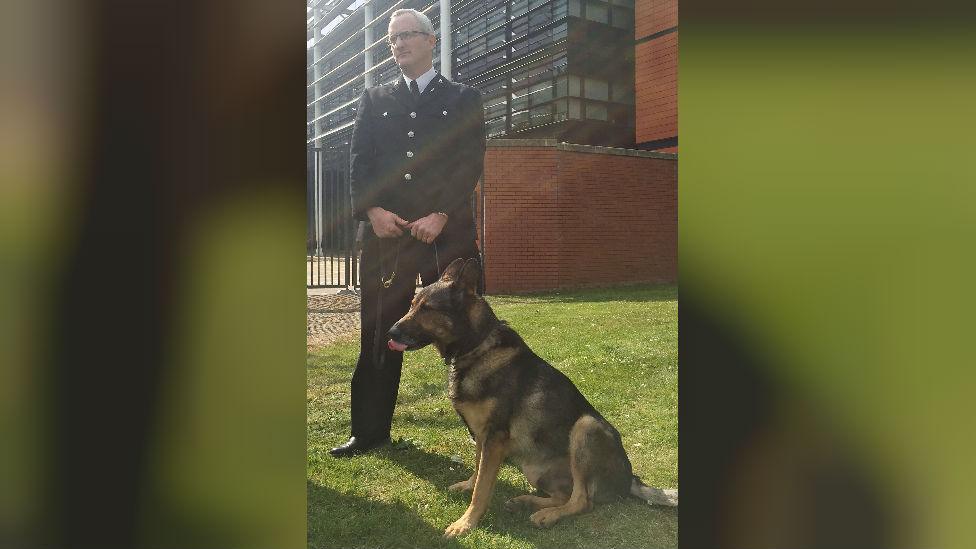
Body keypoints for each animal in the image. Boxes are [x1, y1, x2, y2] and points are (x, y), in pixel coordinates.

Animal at [386, 260, 676, 536]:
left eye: (428, 309)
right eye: (412, 305)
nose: (390, 333)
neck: (477, 346)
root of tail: (630, 479)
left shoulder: (494, 438)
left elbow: (482, 488)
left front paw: (465, 523)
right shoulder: (481, 436)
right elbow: (478, 471)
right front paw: (468, 486)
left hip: (586, 426)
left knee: (582, 501)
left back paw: (547, 516)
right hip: (535, 470)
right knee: (565, 495)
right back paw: (525, 501)